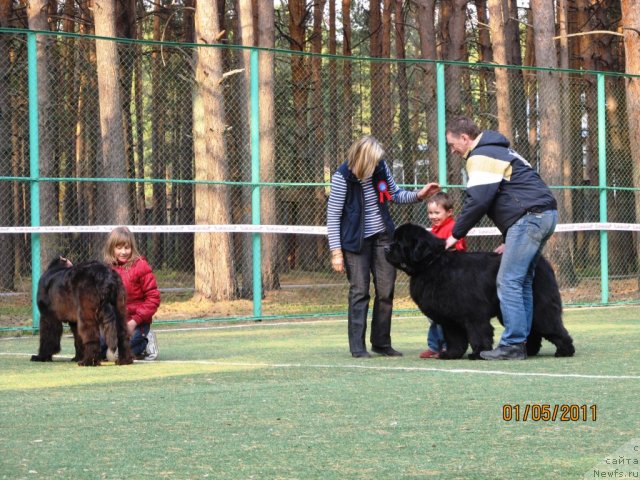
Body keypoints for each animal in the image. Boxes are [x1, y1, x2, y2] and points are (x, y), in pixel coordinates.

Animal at [384, 223, 576, 358]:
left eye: (400, 243)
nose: (386, 248)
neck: (432, 264)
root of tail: (543, 262)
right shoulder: (449, 317)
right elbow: (454, 337)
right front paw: (451, 354)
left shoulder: (473, 313)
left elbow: (478, 334)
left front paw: (478, 353)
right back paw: (528, 350)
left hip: (540, 307)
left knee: (552, 326)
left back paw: (565, 350)